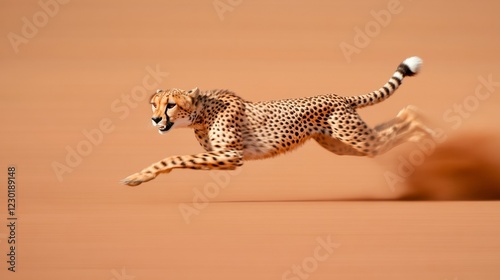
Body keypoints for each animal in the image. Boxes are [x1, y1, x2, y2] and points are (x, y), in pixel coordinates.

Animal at [122, 56, 434, 186]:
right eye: (154, 104)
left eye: (171, 105)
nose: (155, 119)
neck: (201, 114)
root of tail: (339, 95)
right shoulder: (222, 155)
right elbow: (179, 158)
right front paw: (139, 175)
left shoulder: (232, 156)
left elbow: (174, 158)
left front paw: (139, 176)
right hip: (342, 144)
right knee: (392, 127)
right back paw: (426, 134)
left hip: (355, 138)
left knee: (403, 121)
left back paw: (429, 133)